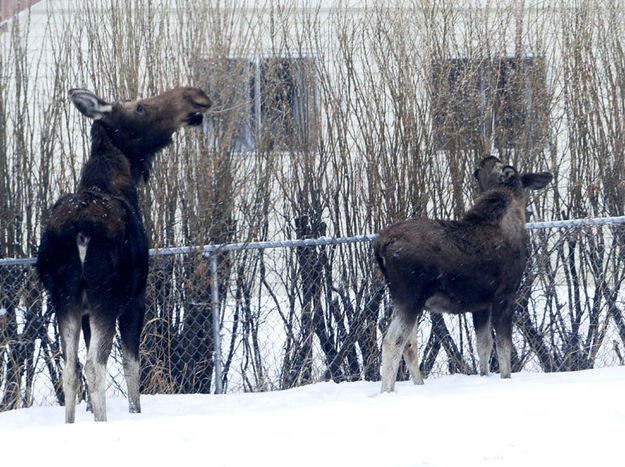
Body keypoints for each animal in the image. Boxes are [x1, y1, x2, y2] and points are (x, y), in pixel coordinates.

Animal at [37, 86, 212, 422]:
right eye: (140, 107)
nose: (197, 96)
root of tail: (79, 229)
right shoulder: (136, 297)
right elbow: (133, 364)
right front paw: (135, 412)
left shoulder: (86, 309)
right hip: (106, 294)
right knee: (94, 366)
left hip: (64, 297)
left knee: (70, 368)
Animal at [372, 158, 548, 394]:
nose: (484, 159)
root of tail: (380, 244)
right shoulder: (505, 295)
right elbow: (504, 349)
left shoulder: (482, 305)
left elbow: (484, 346)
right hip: (409, 297)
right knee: (393, 341)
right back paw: (387, 392)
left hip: (405, 300)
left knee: (409, 344)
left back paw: (418, 386)